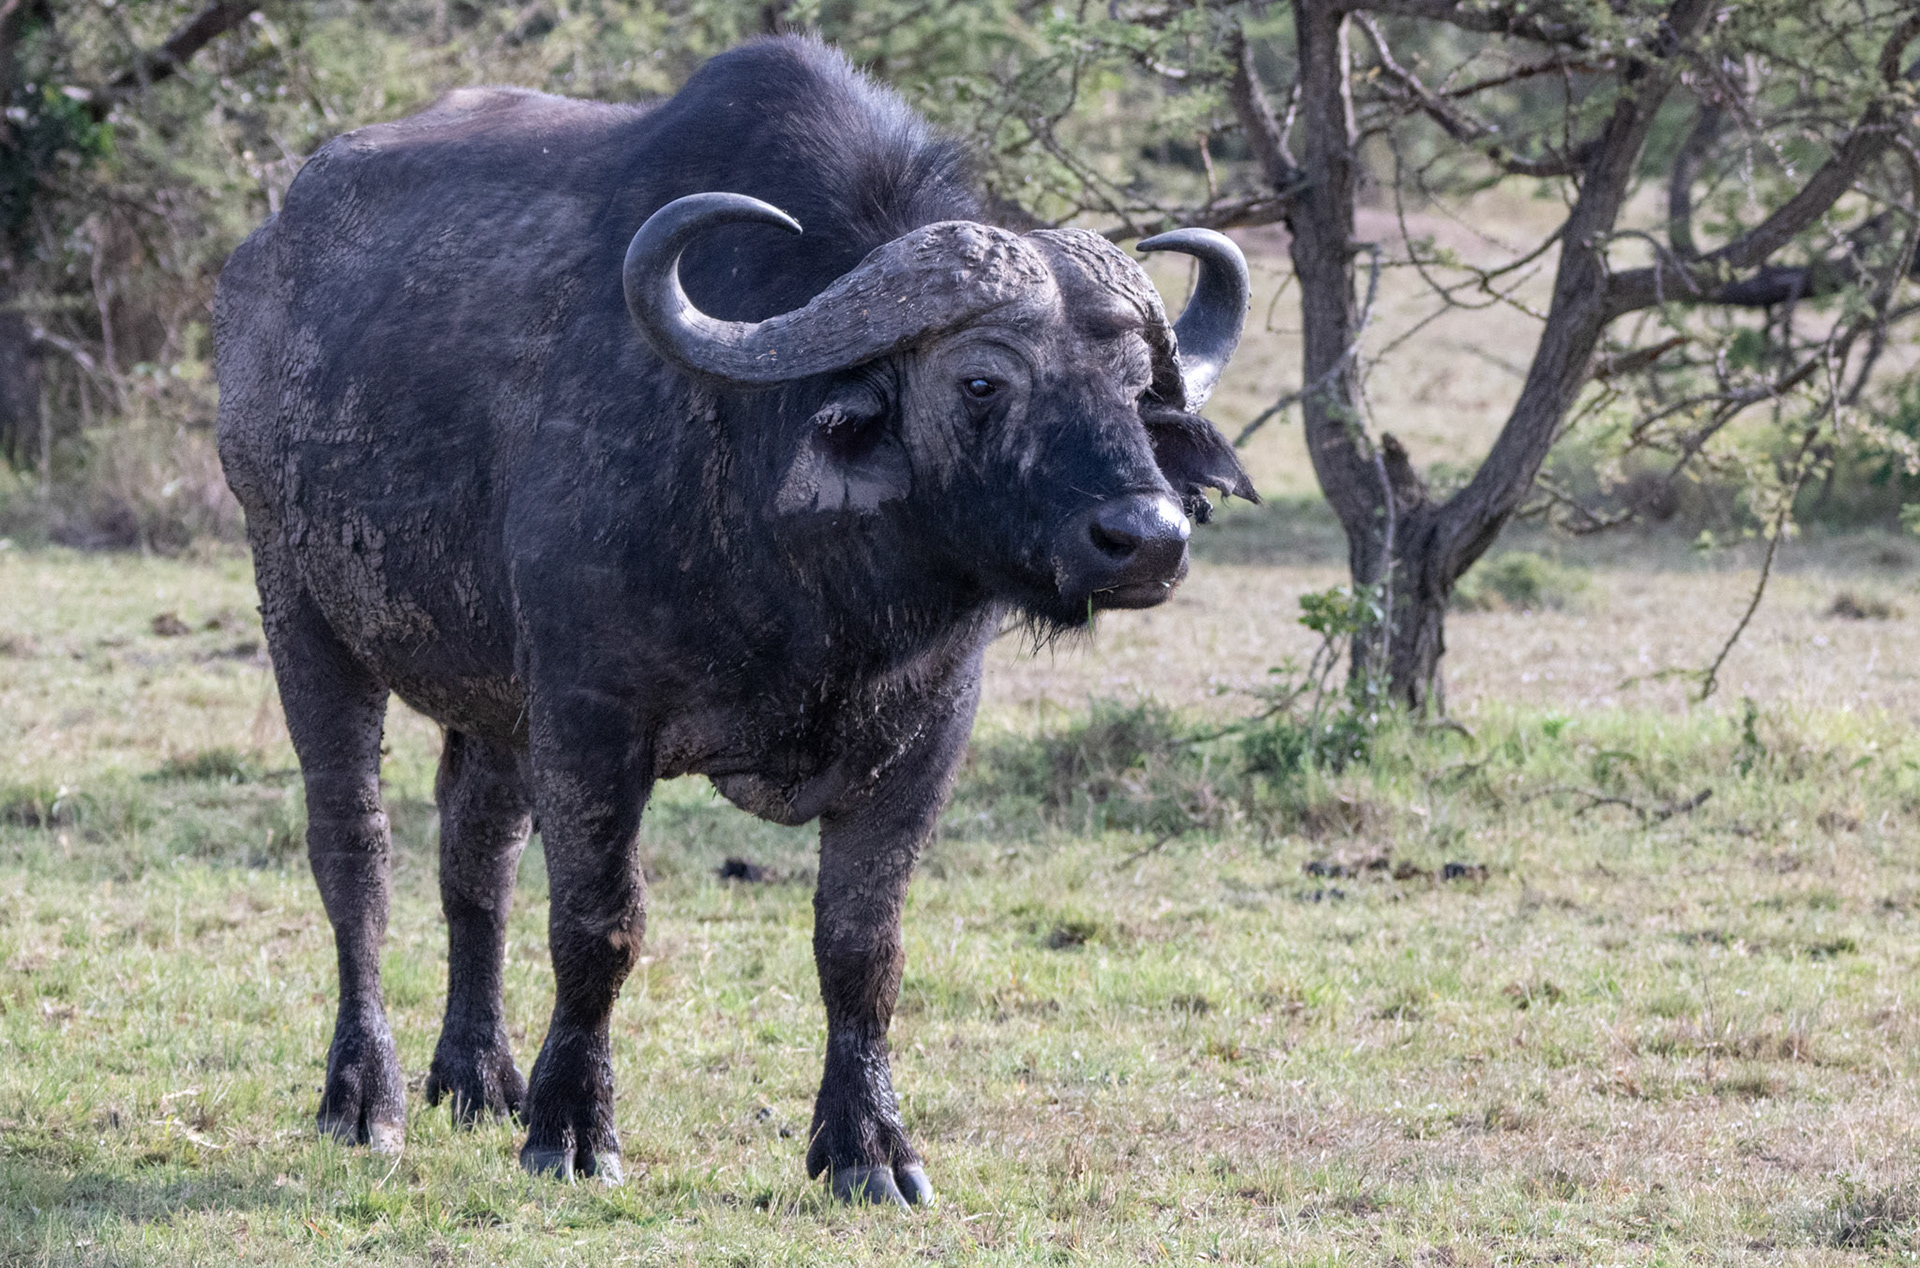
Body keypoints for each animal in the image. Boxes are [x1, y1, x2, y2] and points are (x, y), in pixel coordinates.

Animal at [215, 35, 1254, 1206]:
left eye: (1134, 387)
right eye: (983, 381)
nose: (1148, 538)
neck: (811, 584)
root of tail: (263, 260)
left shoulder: (928, 735)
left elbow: (862, 947)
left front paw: (869, 1144)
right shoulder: (590, 716)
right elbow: (598, 926)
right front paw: (574, 1127)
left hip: (491, 697)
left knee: (475, 854)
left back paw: (480, 1076)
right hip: (300, 604)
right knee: (356, 853)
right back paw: (366, 1094)